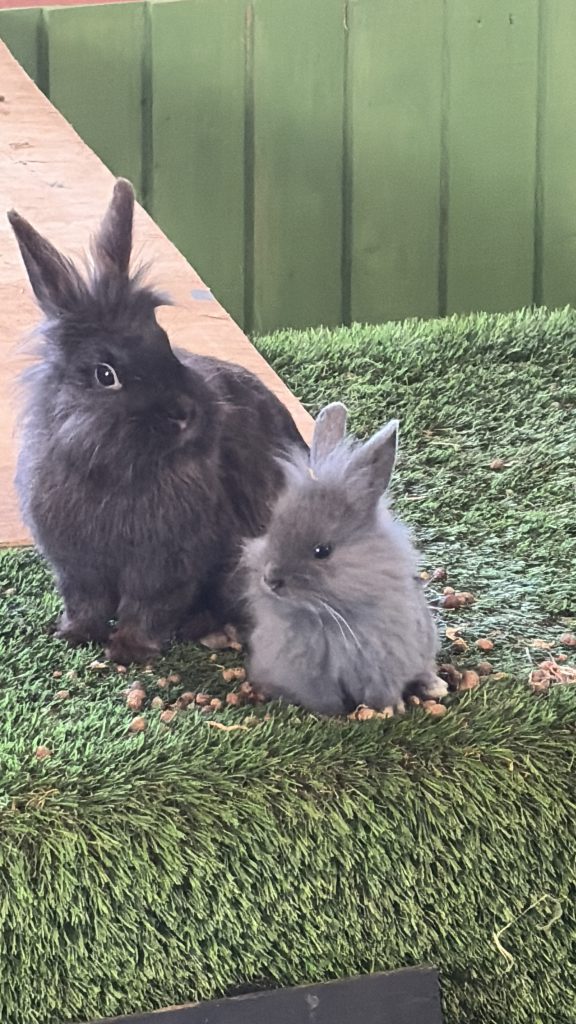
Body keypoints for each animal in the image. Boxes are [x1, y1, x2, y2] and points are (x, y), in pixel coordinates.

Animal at [8, 178, 307, 664]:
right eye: (105, 375)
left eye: (163, 341)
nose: (187, 413)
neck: (114, 471)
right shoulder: (78, 567)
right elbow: (86, 603)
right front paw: (75, 636)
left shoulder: (166, 568)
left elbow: (147, 607)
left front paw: (128, 650)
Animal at [241, 403, 447, 716]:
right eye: (271, 528)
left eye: (322, 551)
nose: (270, 580)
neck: (328, 616)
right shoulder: (309, 678)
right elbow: (324, 701)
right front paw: (331, 715)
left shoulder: (384, 667)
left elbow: (382, 693)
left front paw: (389, 709)